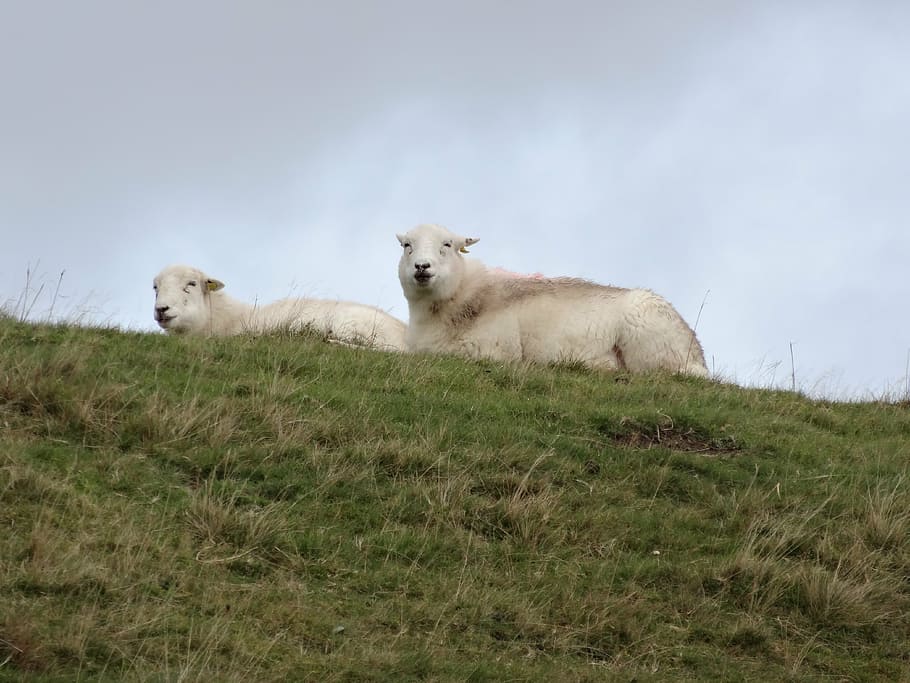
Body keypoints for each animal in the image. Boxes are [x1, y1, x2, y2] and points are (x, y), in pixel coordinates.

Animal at [396, 224, 709, 376]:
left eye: (447, 245)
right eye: (407, 245)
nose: (422, 267)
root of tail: (697, 351)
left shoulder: (492, 350)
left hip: (652, 349)